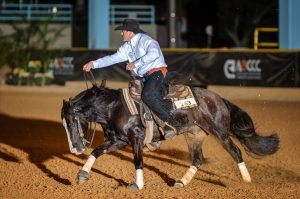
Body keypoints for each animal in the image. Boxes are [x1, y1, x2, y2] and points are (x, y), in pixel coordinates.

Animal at [60, 80, 278, 190]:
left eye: (71, 122)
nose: (75, 149)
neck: (114, 107)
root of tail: (218, 98)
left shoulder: (136, 137)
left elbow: (138, 160)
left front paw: (138, 184)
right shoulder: (118, 140)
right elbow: (96, 152)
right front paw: (82, 175)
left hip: (220, 132)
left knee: (235, 152)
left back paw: (247, 182)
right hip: (194, 135)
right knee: (197, 160)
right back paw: (181, 182)